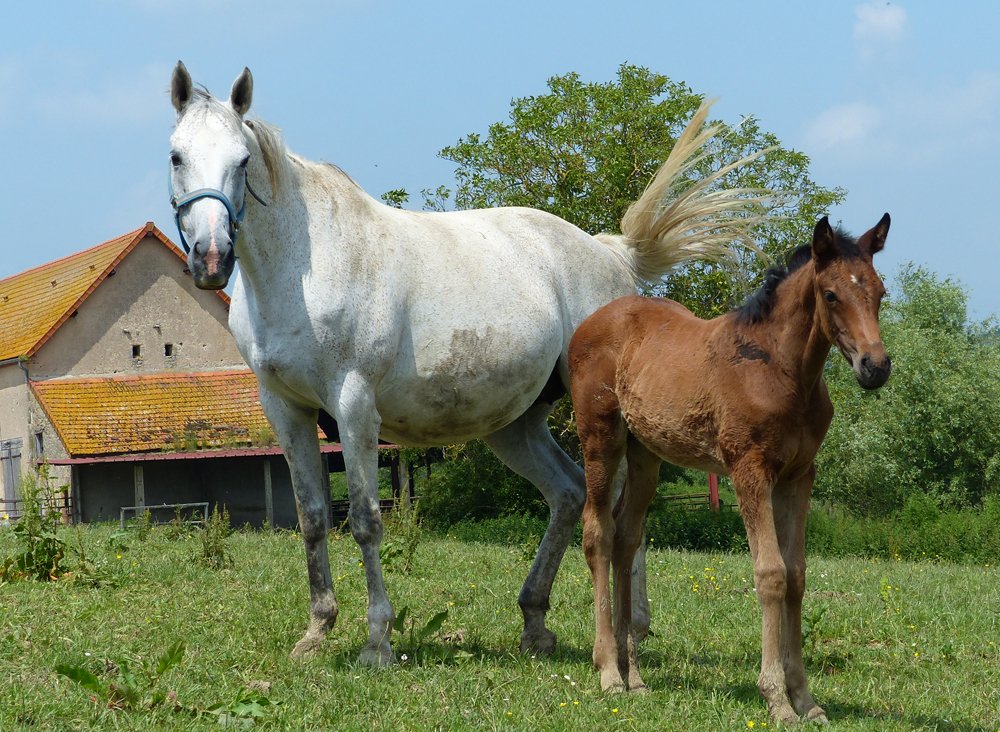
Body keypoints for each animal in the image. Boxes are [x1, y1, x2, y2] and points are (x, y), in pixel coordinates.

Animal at [167, 62, 770, 665]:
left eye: (242, 161)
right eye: (176, 155)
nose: (212, 258)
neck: (304, 268)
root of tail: (610, 253)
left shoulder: (354, 405)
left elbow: (364, 519)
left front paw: (377, 642)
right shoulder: (284, 408)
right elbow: (313, 518)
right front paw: (316, 632)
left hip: (599, 414)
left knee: (618, 507)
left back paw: (629, 630)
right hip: (515, 426)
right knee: (568, 493)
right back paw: (536, 624)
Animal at [568, 214, 891, 724]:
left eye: (880, 292)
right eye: (831, 294)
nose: (875, 366)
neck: (782, 370)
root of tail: (588, 324)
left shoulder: (800, 476)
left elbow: (797, 575)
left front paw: (807, 701)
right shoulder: (749, 470)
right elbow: (771, 574)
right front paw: (776, 699)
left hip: (646, 454)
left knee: (626, 537)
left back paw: (633, 675)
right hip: (601, 438)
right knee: (597, 532)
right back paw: (608, 673)